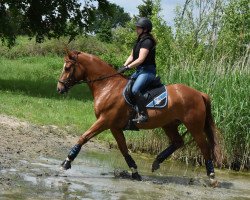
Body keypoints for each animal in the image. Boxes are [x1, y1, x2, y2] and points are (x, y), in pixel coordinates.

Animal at [57, 49, 222, 186]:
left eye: (67, 68)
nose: (59, 88)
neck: (108, 86)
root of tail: (199, 93)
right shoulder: (114, 127)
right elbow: (123, 149)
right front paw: (135, 172)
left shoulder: (104, 121)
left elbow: (84, 137)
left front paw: (66, 162)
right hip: (169, 124)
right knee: (177, 142)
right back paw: (157, 162)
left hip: (194, 127)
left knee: (204, 147)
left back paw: (212, 177)